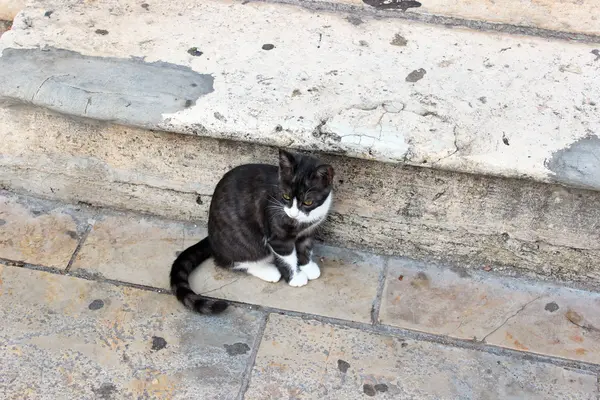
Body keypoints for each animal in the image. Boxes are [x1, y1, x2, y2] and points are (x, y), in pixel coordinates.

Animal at [171, 148, 336, 314]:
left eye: (308, 202)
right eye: (286, 196)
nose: (293, 214)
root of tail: (210, 237)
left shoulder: (308, 231)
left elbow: (305, 248)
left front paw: (308, 267)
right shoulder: (278, 236)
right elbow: (287, 257)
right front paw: (295, 277)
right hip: (243, 242)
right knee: (232, 261)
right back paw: (268, 271)